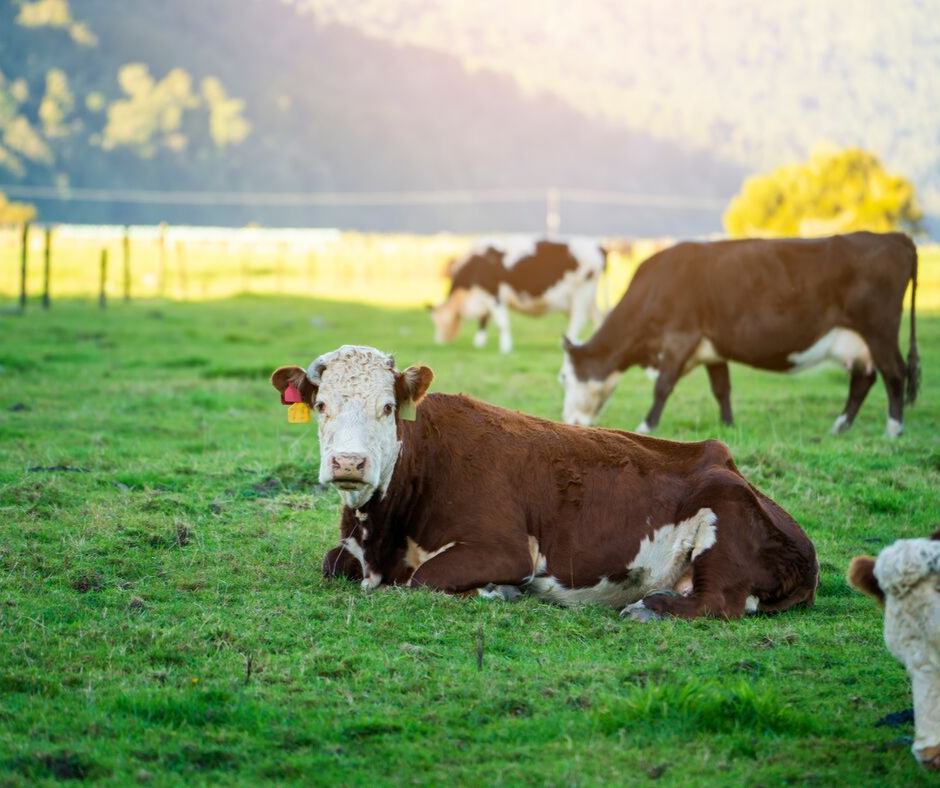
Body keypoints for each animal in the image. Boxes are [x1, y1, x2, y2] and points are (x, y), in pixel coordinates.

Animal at [270, 344, 816, 620]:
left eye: (387, 407)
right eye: (321, 405)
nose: (349, 462)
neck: (382, 533)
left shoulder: (506, 549)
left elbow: (421, 579)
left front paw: (497, 592)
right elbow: (331, 563)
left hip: (723, 514)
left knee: (718, 602)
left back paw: (649, 607)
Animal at [430, 237, 604, 354]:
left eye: (439, 321)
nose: (439, 342)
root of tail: (598, 247)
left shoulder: (494, 294)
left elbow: (501, 323)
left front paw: (505, 348)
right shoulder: (485, 296)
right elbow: (484, 319)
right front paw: (479, 343)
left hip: (582, 292)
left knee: (578, 319)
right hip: (590, 298)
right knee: (598, 319)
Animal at [560, 231, 916, 440]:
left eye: (564, 377)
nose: (570, 422)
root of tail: (894, 237)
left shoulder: (679, 338)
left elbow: (662, 387)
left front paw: (646, 426)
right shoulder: (711, 349)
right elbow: (722, 389)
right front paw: (728, 426)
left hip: (880, 330)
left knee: (895, 374)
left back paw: (894, 429)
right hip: (861, 341)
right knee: (864, 380)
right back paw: (840, 427)